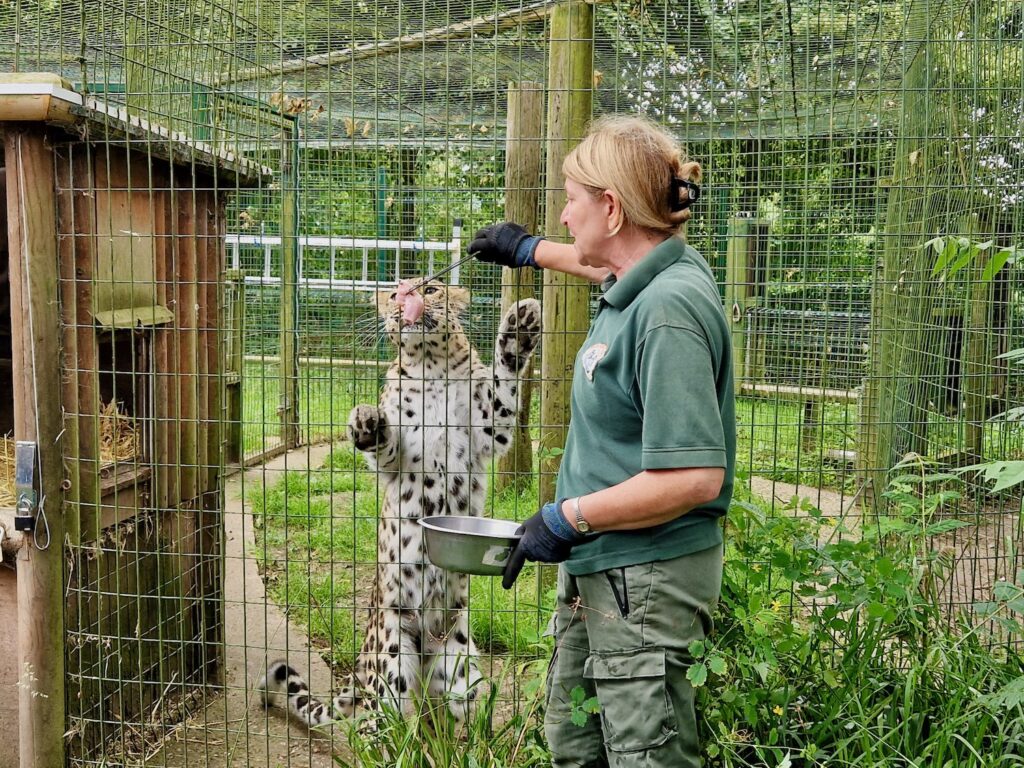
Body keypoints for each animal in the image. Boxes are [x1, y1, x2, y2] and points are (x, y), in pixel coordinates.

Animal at [258, 280, 544, 729]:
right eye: (393, 294)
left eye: (432, 287)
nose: (406, 298)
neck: (431, 364)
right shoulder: (398, 450)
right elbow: (385, 442)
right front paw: (364, 421)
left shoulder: (488, 426)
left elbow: (504, 385)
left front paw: (522, 321)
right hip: (390, 666)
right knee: (375, 726)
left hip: (461, 672)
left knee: (446, 718)